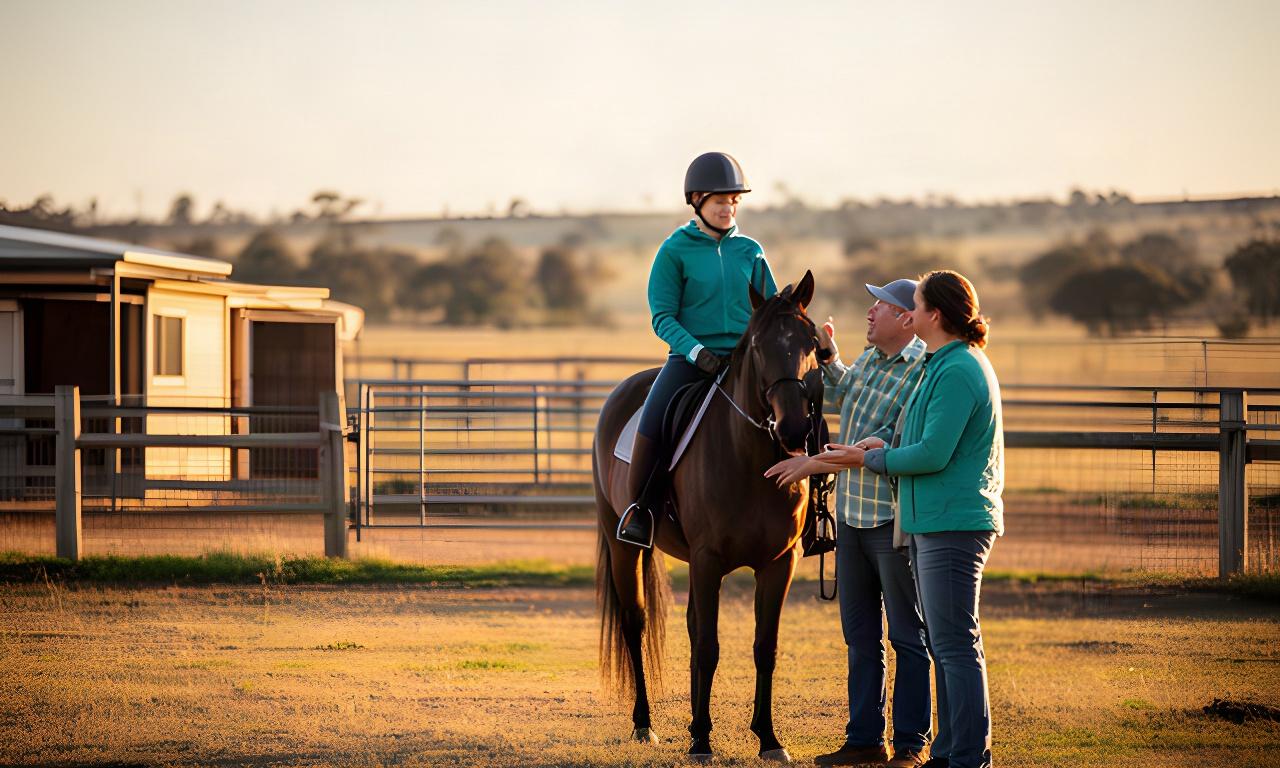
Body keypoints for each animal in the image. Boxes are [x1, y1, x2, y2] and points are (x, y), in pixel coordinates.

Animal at [593, 271, 821, 762]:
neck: (751, 460)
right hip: (622, 545)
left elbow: (764, 647)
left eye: (813, 343)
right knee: (635, 624)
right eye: (758, 346)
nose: (793, 429)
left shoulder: (779, 563)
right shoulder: (708, 559)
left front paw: (768, 738)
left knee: (692, 627)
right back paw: (644, 724)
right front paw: (701, 739)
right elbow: (709, 647)